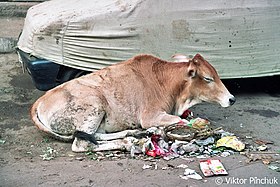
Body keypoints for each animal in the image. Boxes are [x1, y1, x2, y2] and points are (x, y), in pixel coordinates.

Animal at [30, 53, 236, 152]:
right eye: (208, 78)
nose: (231, 99)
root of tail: (39, 102)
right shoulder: (151, 116)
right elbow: (183, 121)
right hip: (94, 105)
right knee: (82, 144)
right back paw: (129, 143)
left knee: (95, 136)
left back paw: (133, 134)